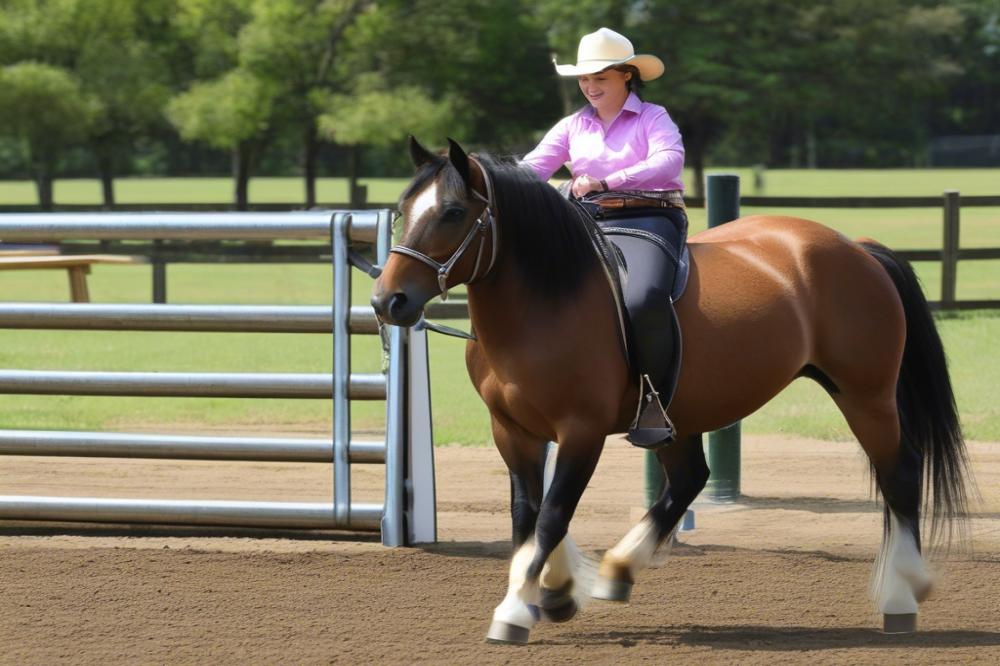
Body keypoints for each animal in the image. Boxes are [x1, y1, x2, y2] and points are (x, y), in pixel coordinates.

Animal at [370, 137, 968, 640]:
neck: (545, 302)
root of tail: (858, 248)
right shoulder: (512, 431)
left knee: (900, 475)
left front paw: (516, 609)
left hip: (866, 396)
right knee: (688, 479)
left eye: (452, 212)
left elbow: (553, 513)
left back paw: (901, 596)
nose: (386, 301)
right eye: (402, 210)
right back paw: (618, 569)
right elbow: (527, 514)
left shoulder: (582, 431)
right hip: (680, 414)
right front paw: (556, 591)